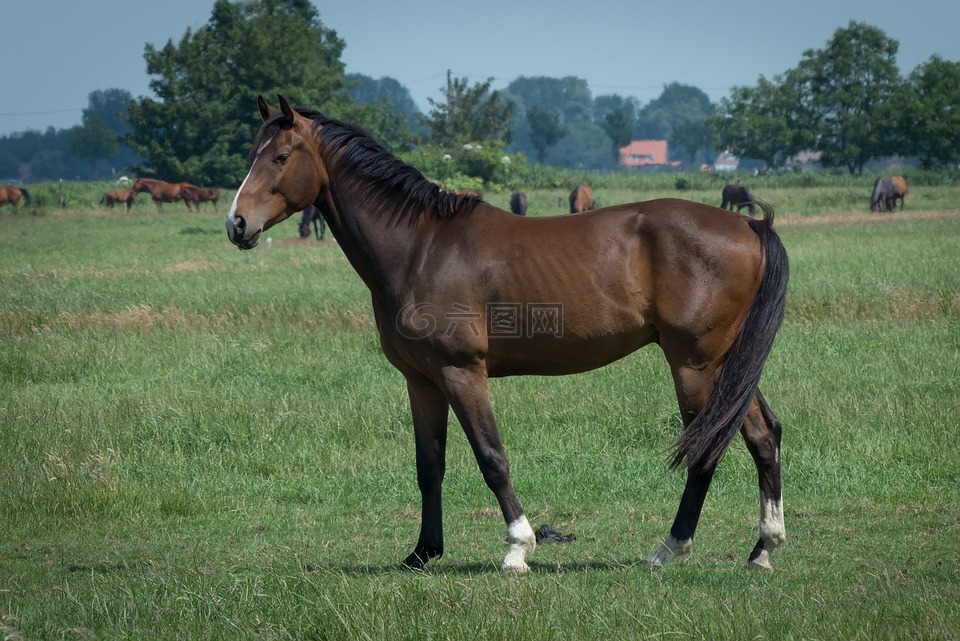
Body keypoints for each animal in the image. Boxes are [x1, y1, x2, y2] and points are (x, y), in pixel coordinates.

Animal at [225, 95, 789, 573]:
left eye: (280, 156)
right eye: (253, 154)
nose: (236, 224)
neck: (420, 248)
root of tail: (749, 226)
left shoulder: (462, 373)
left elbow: (491, 457)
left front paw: (518, 548)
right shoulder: (422, 381)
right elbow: (429, 465)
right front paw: (423, 553)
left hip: (694, 365)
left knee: (707, 449)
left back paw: (670, 548)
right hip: (725, 364)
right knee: (763, 434)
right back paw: (763, 549)